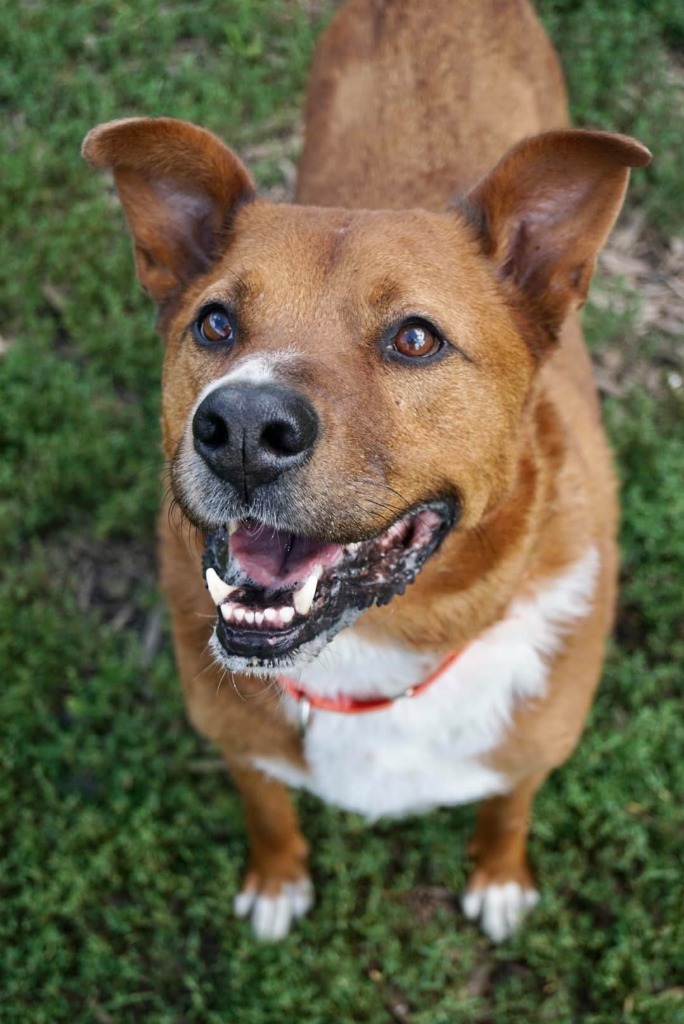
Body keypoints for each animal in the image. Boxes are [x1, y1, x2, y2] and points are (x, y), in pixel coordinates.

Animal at [82, 0, 651, 942]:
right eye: (214, 323)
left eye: (415, 337)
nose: (241, 429)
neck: (373, 657)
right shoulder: (239, 746)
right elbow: (269, 809)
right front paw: (277, 879)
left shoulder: (533, 752)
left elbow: (509, 808)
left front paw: (500, 876)